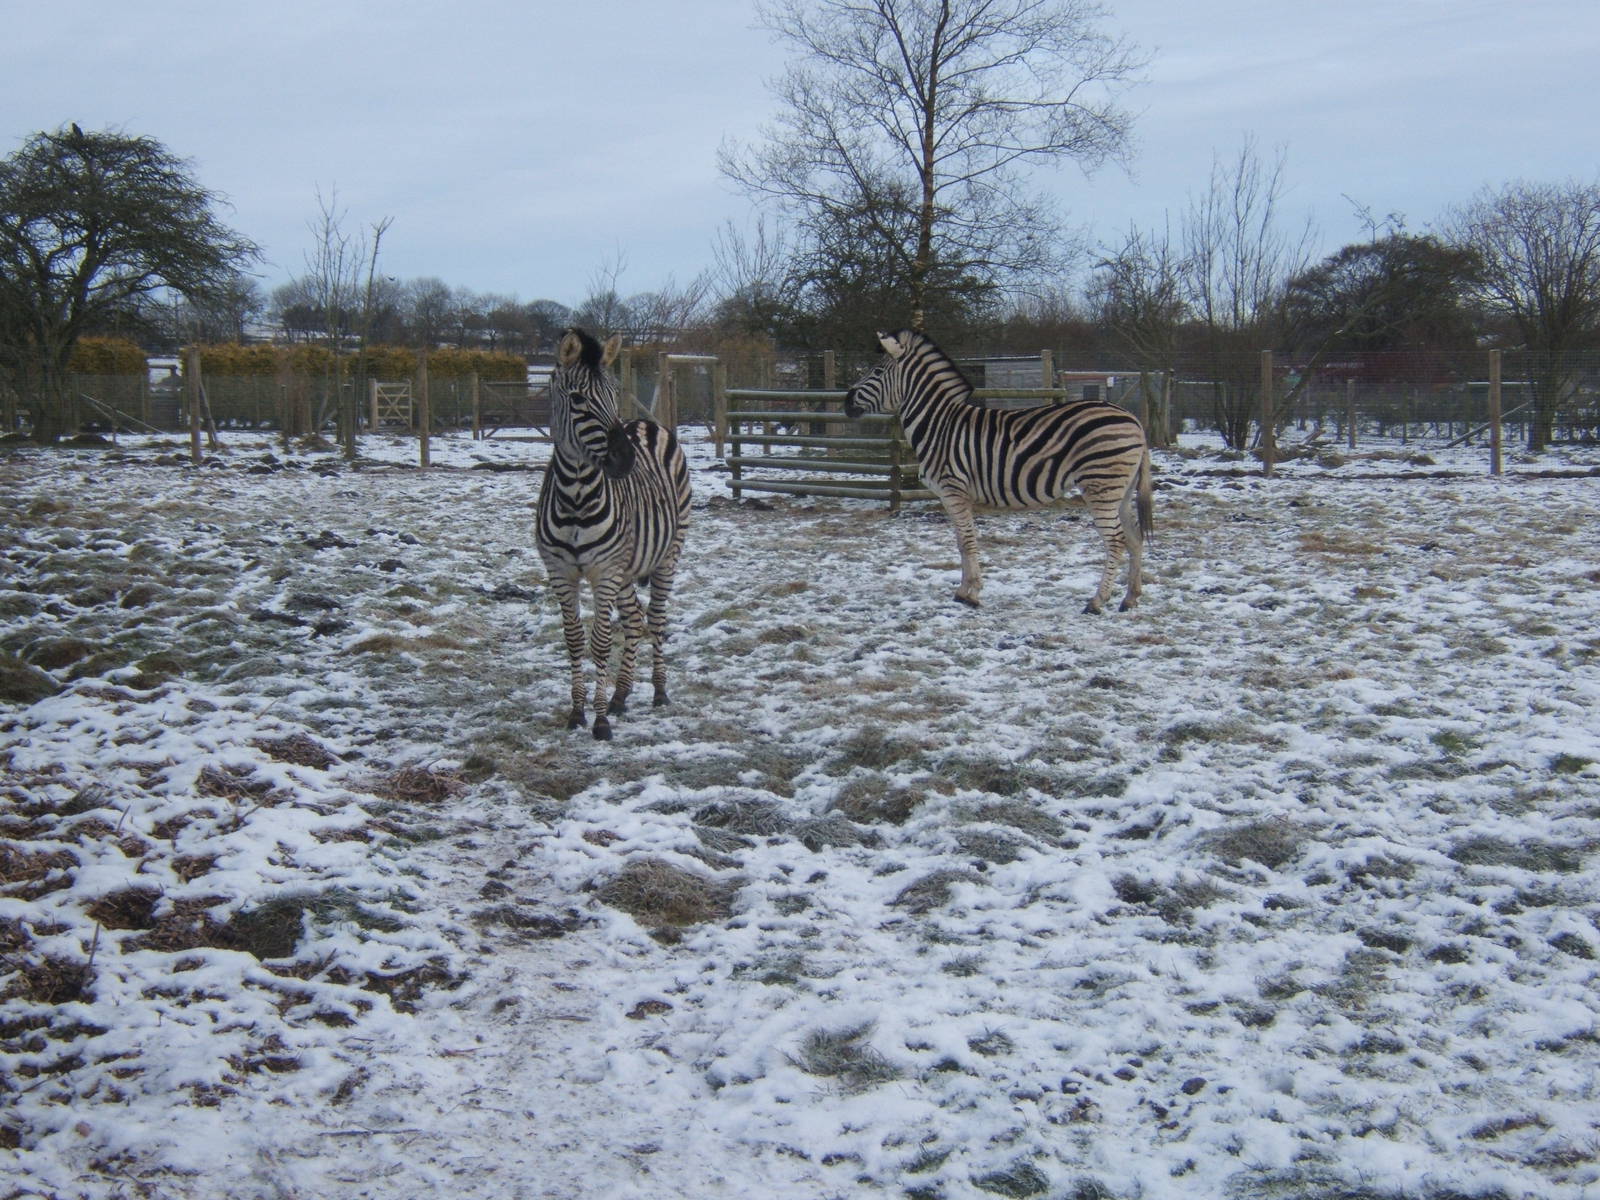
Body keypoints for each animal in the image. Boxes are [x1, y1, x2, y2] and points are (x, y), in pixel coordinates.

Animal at [536, 328, 691, 739]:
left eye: (613, 391)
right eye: (577, 399)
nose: (625, 460)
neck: (575, 496)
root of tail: (646, 423)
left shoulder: (604, 571)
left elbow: (602, 642)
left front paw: (601, 720)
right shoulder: (560, 572)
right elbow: (575, 641)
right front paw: (578, 712)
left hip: (669, 554)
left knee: (656, 619)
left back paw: (658, 691)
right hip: (626, 567)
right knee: (635, 620)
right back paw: (621, 695)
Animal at [843, 329, 1153, 613]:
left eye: (877, 371)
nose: (846, 402)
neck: (938, 425)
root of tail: (1134, 419)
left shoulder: (952, 490)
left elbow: (967, 541)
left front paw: (971, 594)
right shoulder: (954, 495)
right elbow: (960, 541)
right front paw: (963, 590)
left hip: (1101, 485)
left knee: (1116, 541)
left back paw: (1097, 601)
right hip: (1120, 490)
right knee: (1135, 538)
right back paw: (1130, 598)